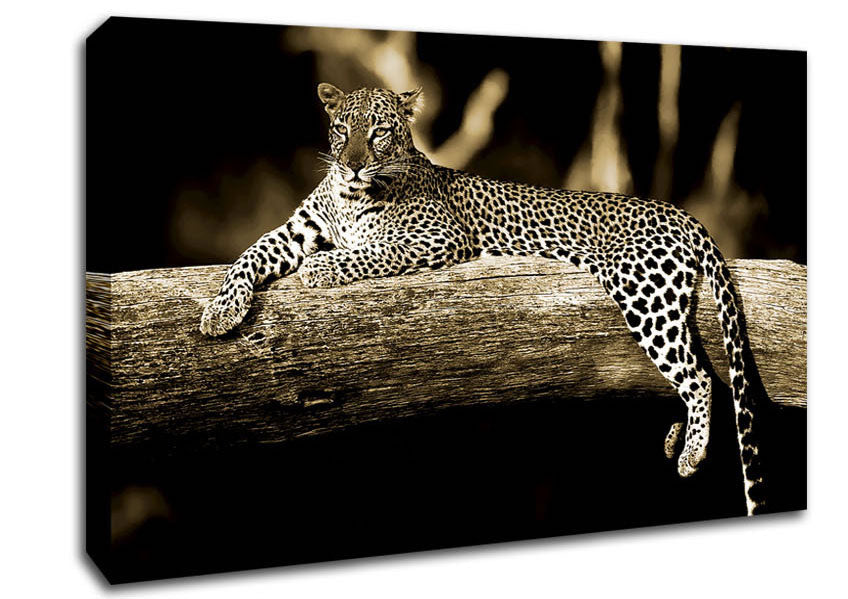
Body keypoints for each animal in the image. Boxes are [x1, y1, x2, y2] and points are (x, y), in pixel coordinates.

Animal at [200, 82, 767, 516]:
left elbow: (371, 252)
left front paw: (320, 269)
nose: (353, 166)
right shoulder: (298, 229)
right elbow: (250, 254)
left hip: (643, 291)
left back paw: (691, 454)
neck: (349, 197)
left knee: (700, 376)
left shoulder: (438, 238)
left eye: (379, 132)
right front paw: (219, 312)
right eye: (342, 130)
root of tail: (684, 214)